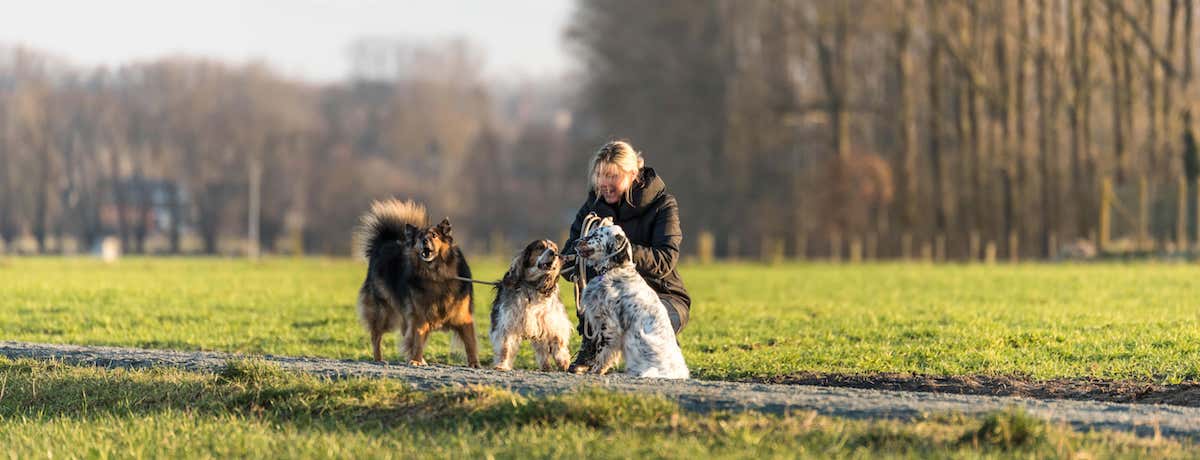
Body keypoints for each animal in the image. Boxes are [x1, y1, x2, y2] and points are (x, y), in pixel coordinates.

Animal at [350, 198, 477, 367]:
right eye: (419, 237)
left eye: (434, 235)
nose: (424, 240)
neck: (437, 275)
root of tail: (384, 243)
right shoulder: (419, 317)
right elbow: (418, 341)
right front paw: (415, 360)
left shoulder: (463, 318)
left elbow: (470, 343)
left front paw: (474, 363)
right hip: (384, 313)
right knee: (376, 336)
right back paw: (379, 359)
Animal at [492, 240, 576, 372]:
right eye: (540, 247)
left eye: (555, 248)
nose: (554, 254)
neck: (533, 285)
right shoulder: (507, 322)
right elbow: (505, 348)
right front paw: (502, 365)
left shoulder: (552, 319)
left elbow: (558, 340)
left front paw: (563, 361)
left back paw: (546, 366)